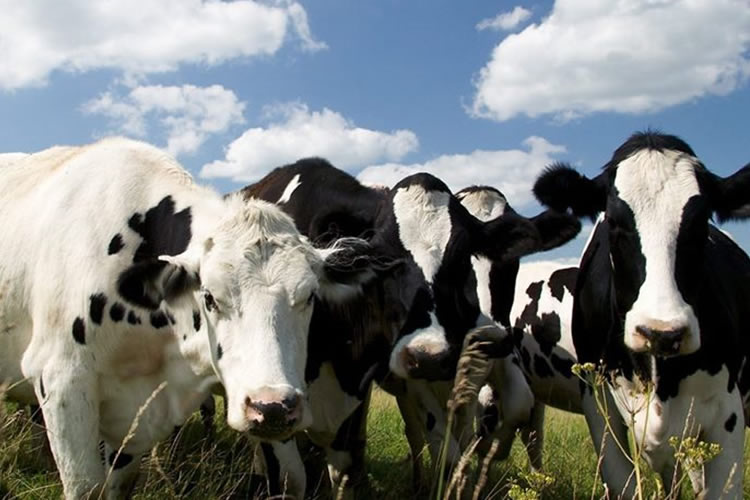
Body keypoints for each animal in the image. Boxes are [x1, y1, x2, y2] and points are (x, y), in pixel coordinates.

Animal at [0, 138, 376, 500]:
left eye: (310, 295)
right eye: (208, 296)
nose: (271, 408)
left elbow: (120, 484)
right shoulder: (61, 378)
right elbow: (87, 488)